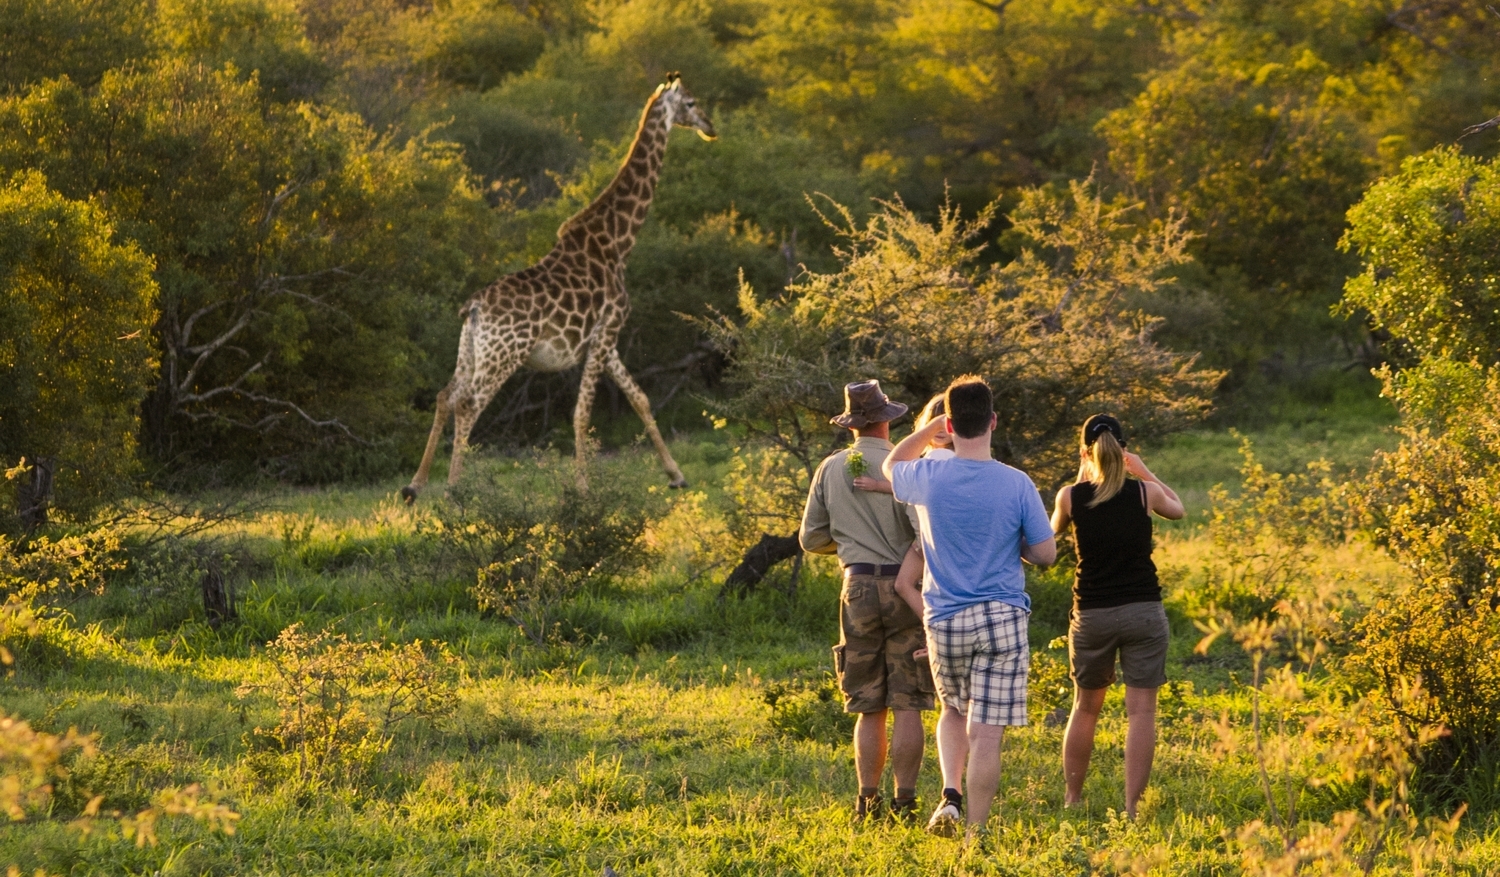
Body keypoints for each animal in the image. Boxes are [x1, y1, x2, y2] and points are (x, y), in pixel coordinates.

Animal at [405, 74, 714, 500]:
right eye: (691, 102)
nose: (711, 127)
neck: (618, 243)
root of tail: (475, 307)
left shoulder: (605, 339)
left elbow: (639, 398)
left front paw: (676, 475)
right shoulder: (608, 330)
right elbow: (583, 411)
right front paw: (583, 486)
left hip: (471, 350)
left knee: (444, 396)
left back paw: (415, 485)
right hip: (506, 354)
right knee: (467, 405)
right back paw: (455, 490)